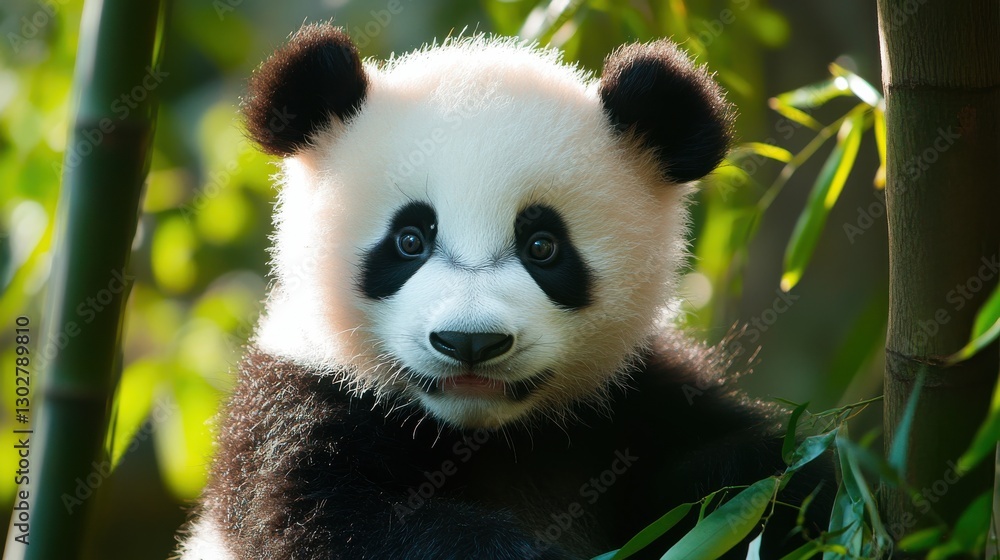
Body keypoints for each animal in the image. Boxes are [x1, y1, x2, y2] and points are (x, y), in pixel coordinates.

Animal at [176, 23, 832, 560]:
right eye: (409, 240)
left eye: (543, 246)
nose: (470, 342)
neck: (483, 434)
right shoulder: (299, 400)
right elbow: (330, 520)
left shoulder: (638, 399)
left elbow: (735, 485)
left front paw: (807, 487)